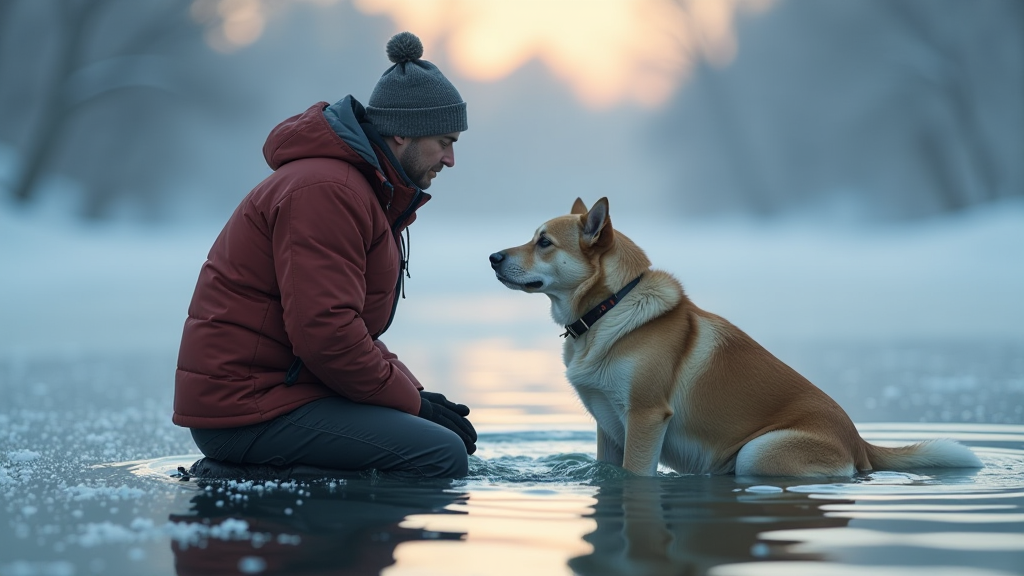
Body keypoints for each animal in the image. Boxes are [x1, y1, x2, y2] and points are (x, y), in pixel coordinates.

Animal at [489, 196, 983, 475]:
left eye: (544, 242)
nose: (493, 257)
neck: (608, 309)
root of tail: (860, 443)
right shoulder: (608, 428)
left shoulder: (646, 418)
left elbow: (635, 477)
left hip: (757, 453)